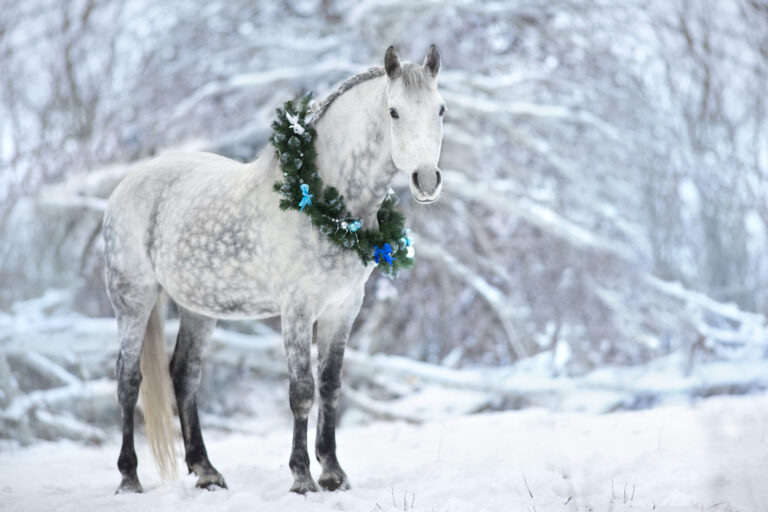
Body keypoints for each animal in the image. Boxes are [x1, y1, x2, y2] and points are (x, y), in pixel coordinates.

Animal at [103, 44, 446, 495]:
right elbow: (302, 391)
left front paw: (333, 472)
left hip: (198, 307)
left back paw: (206, 470)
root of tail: (127, 184)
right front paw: (302, 477)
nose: (426, 180)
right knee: (128, 380)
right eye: (393, 112)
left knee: (184, 375)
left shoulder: (343, 308)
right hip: (134, 299)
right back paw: (129, 478)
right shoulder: (297, 309)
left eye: (441, 109)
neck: (323, 198)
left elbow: (330, 386)